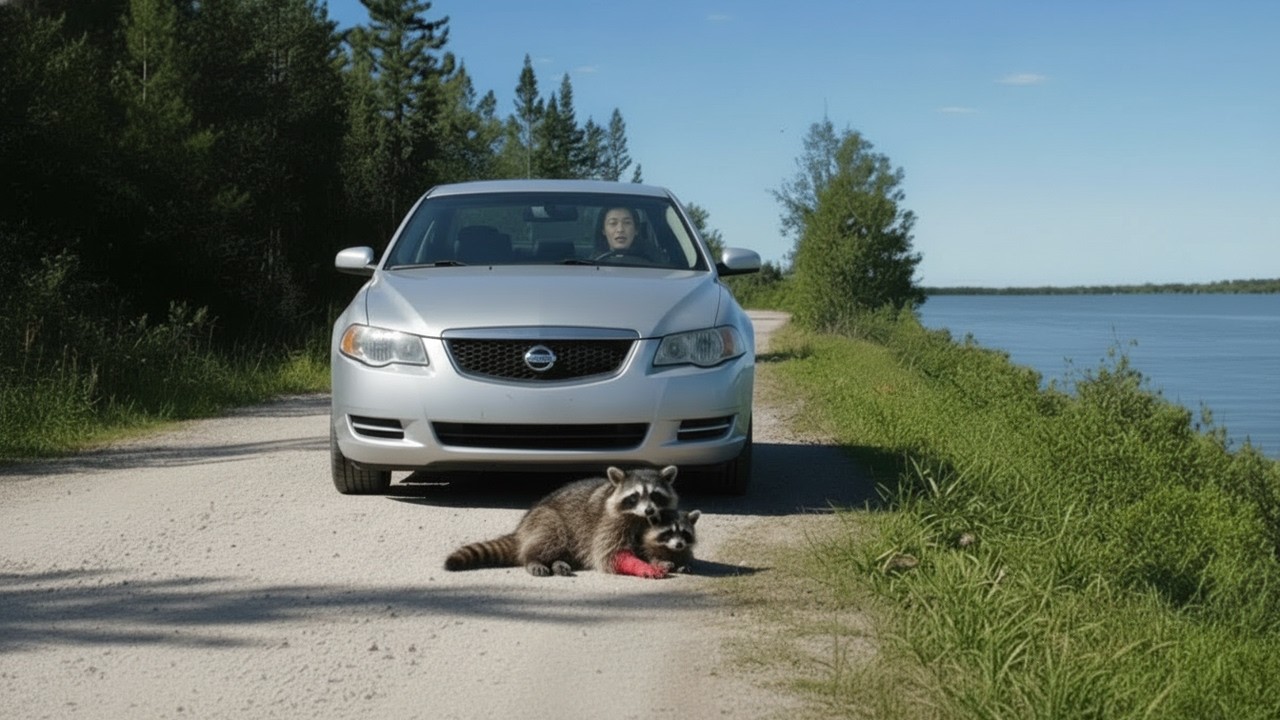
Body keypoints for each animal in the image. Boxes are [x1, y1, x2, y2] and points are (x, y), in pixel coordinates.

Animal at [444, 465, 679, 577]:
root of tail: (522, 528)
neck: (640, 518)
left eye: (655, 495)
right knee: (552, 535)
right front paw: (642, 566)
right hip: (546, 519)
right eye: (634, 496)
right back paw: (534, 559)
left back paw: (558, 562)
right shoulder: (608, 524)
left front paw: (658, 560)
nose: (649, 510)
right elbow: (611, 554)